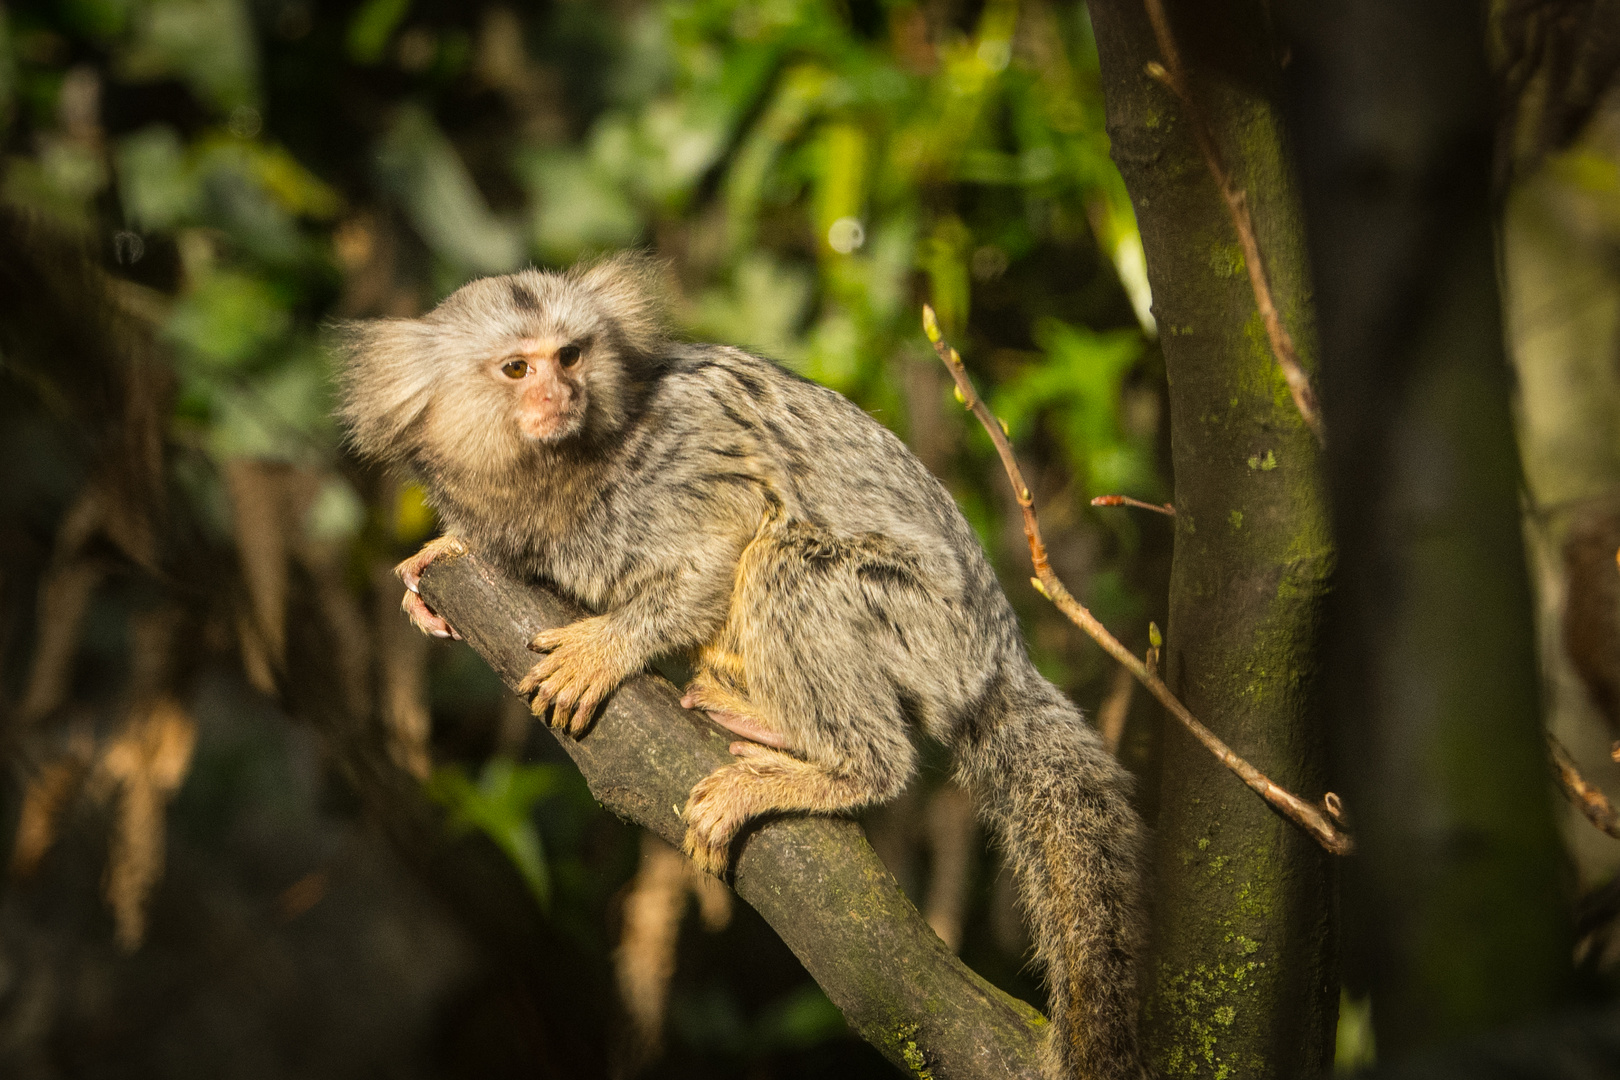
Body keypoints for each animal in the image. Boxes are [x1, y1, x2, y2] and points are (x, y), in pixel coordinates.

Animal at [335, 257, 1153, 1075]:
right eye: (517, 368)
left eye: (569, 356)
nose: (560, 395)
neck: (557, 474)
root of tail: (998, 659)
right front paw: (438, 561)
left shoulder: (676, 465)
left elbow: (726, 537)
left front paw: (607, 648)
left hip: (924, 626)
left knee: (787, 567)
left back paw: (838, 765)